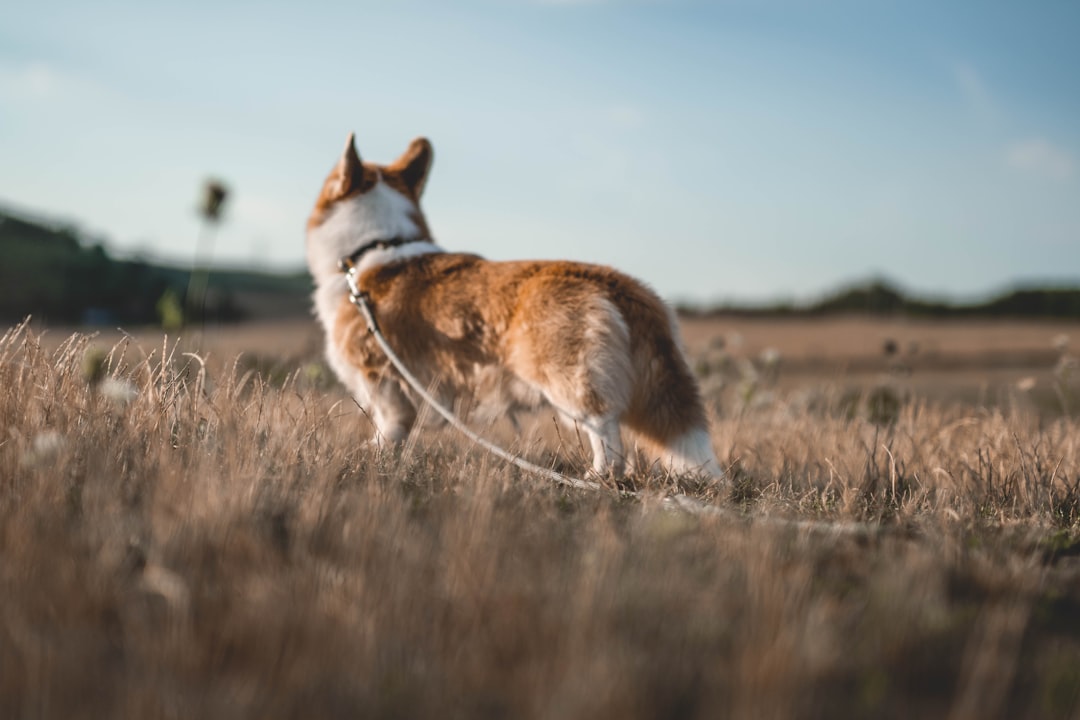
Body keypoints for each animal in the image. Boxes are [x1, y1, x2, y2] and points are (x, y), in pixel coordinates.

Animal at [308, 133, 721, 483]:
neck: (377, 244)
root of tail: (618, 284)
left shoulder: (380, 375)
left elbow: (390, 425)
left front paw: (374, 455)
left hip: (571, 379)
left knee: (604, 425)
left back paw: (598, 476)